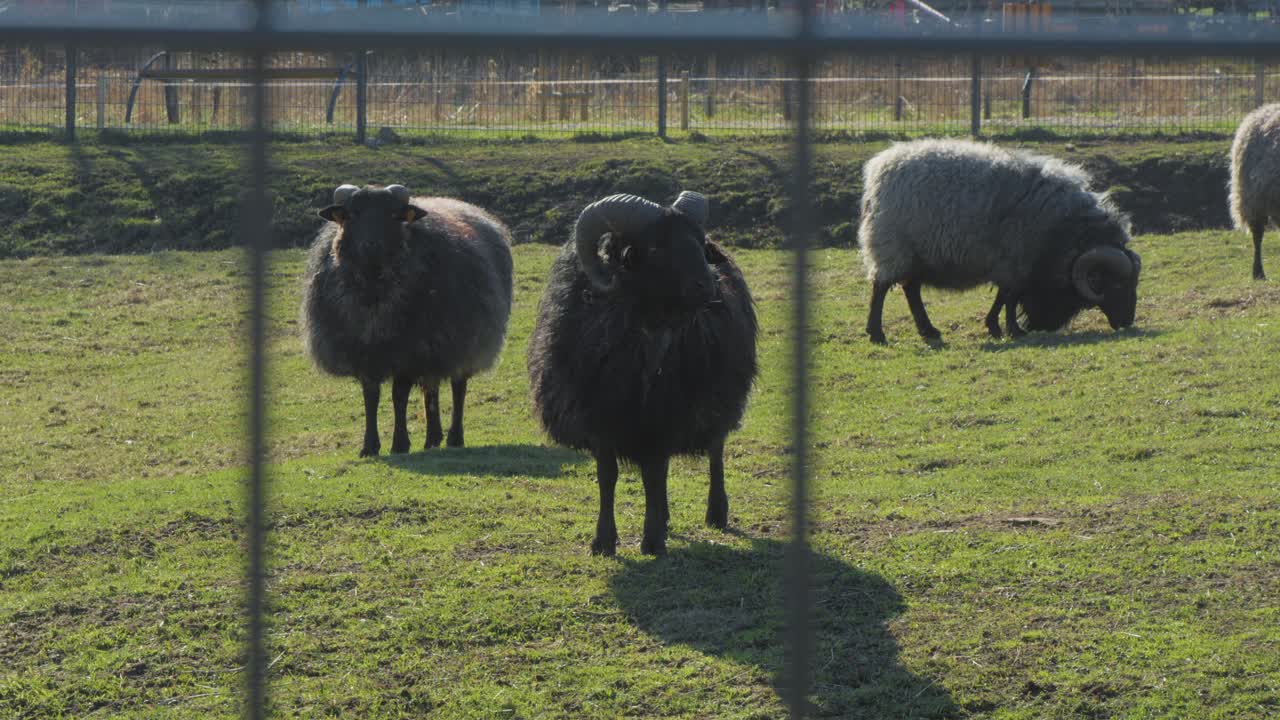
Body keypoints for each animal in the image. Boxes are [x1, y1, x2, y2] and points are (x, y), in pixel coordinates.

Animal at [301, 183, 513, 457]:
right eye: (352, 214)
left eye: (393, 215)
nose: (371, 245)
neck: (374, 292)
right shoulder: (365, 353)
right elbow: (371, 398)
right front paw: (369, 446)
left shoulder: (407, 351)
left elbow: (398, 397)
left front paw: (399, 444)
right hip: (434, 348)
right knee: (431, 389)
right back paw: (432, 439)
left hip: (465, 342)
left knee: (458, 388)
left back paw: (454, 438)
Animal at [527, 191, 758, 557]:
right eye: (654, 249)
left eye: (698, 241)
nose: (709, 285)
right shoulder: (599, 418)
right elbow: (608, 476)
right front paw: (604, 541)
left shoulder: (664, 417)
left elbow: (654, 474)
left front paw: (651, 541)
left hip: (717, 400)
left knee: (715, 451)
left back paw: (715, 512)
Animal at [858, 139, 1143, 344]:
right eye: (1115, 284)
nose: (1127, 322)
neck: (1067, 233)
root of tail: (878, 168)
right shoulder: (1015, 260)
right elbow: (1010, 297)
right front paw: (1014, 330)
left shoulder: (1010, 264)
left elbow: (1003, 296)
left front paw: (995, 327)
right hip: (893, 246)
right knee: (881, 287)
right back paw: (877, 333)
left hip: (917, 254)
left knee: (911, 290)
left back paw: (929, 330)